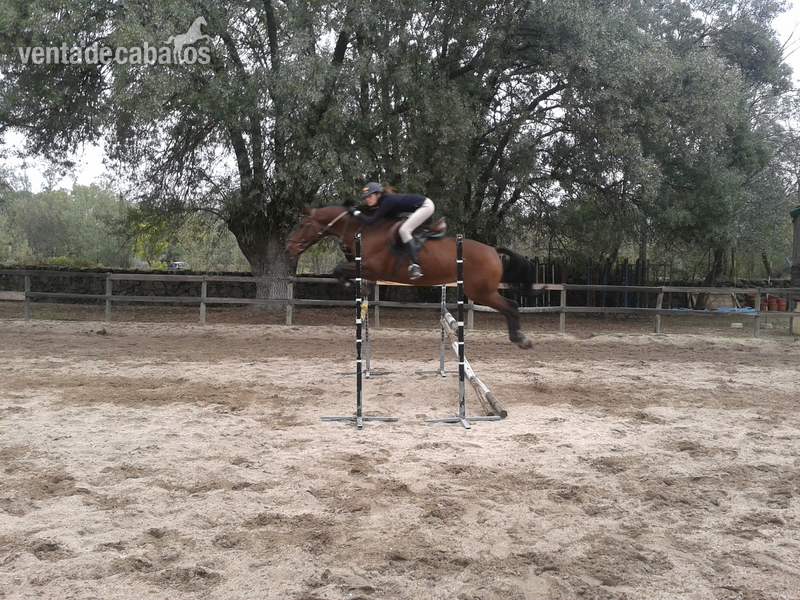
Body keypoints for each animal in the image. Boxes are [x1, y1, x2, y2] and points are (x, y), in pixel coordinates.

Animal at [285, 204, 541, 349]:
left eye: (301, 224)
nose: (289, 248)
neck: (366, 230)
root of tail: (493, 251)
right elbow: (340, 273)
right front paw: (362, 289)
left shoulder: (369, 267)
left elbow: (338, 271)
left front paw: (361, 289)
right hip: (481, 291)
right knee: (510, 305)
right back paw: (518, 338)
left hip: (480, 291)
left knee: (510, 305)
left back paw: (521, 339)